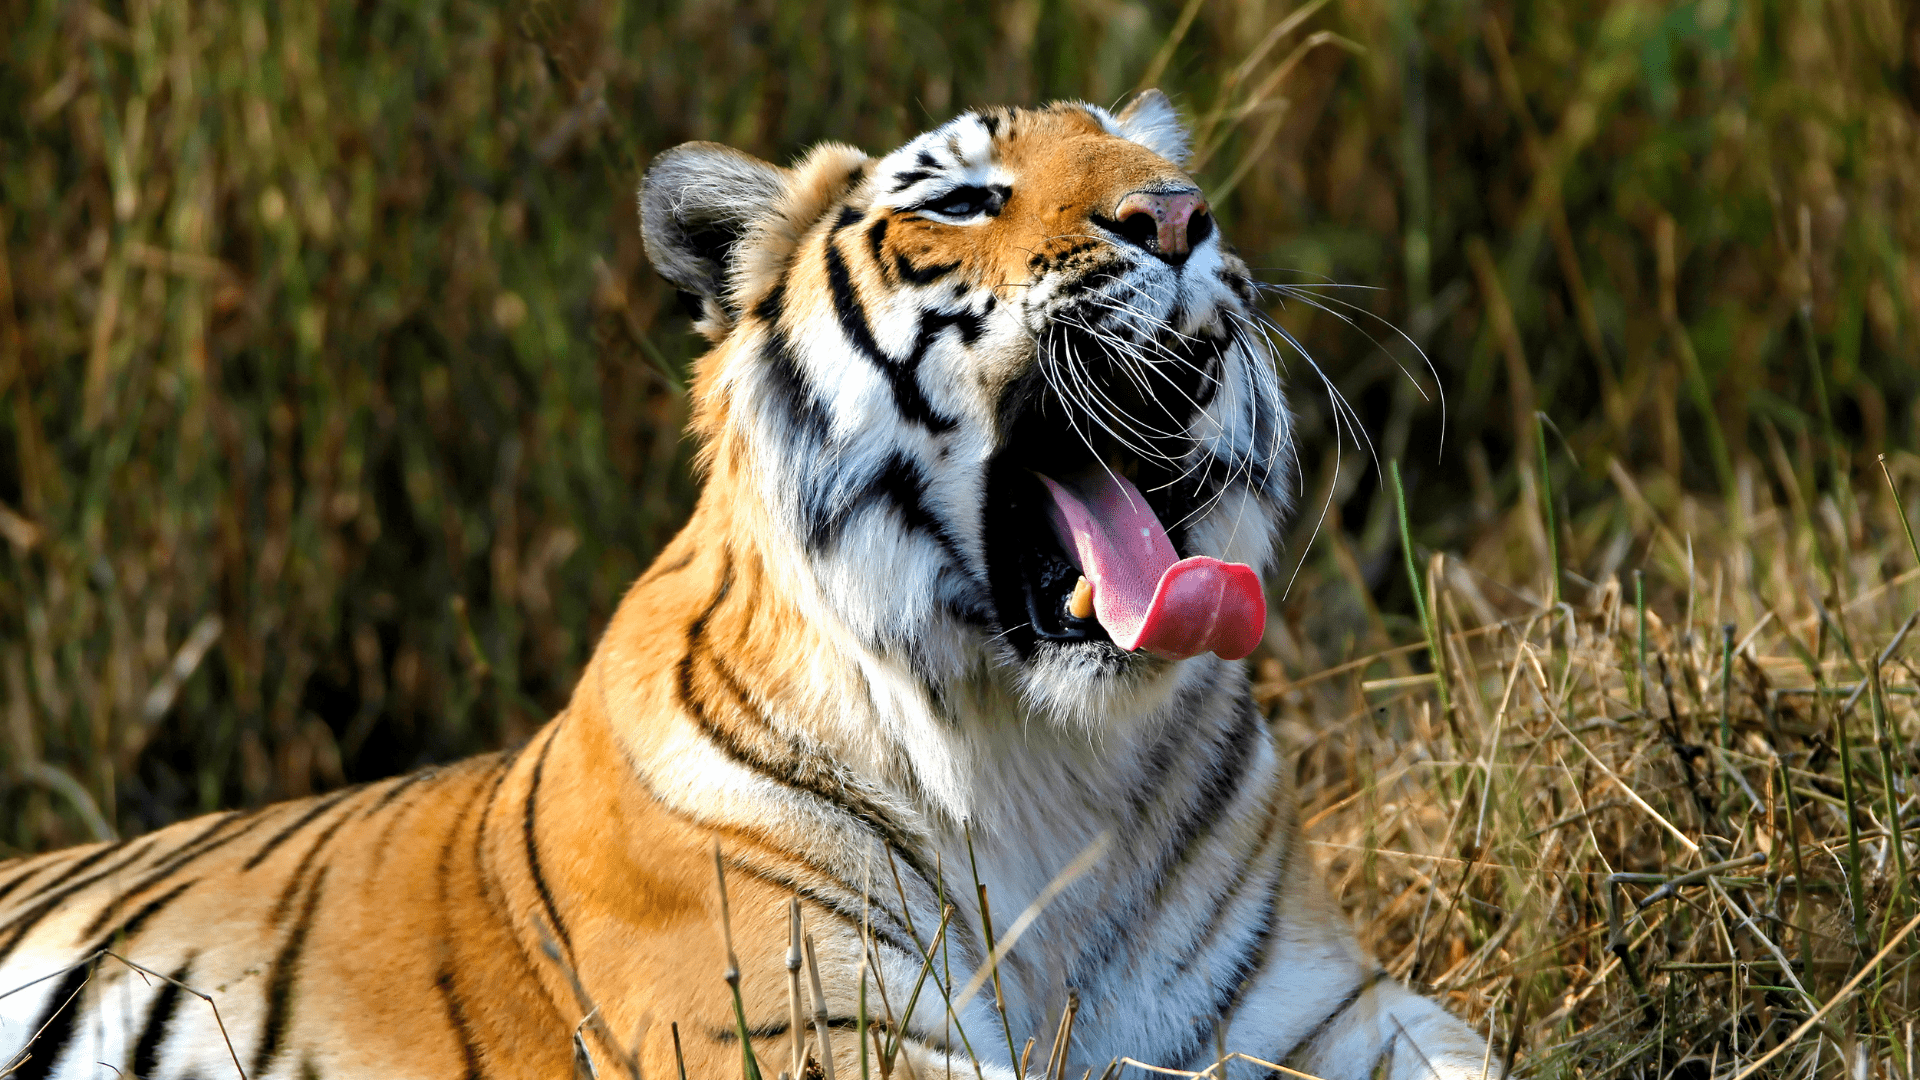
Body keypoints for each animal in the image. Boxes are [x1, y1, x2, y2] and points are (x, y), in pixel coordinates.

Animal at [0, 92, 1482, 1076]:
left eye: (1171, 173)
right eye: (961, 200)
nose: (1176, 218)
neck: (1048, 757)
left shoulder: (1322, 1011)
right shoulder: (815, 1029)